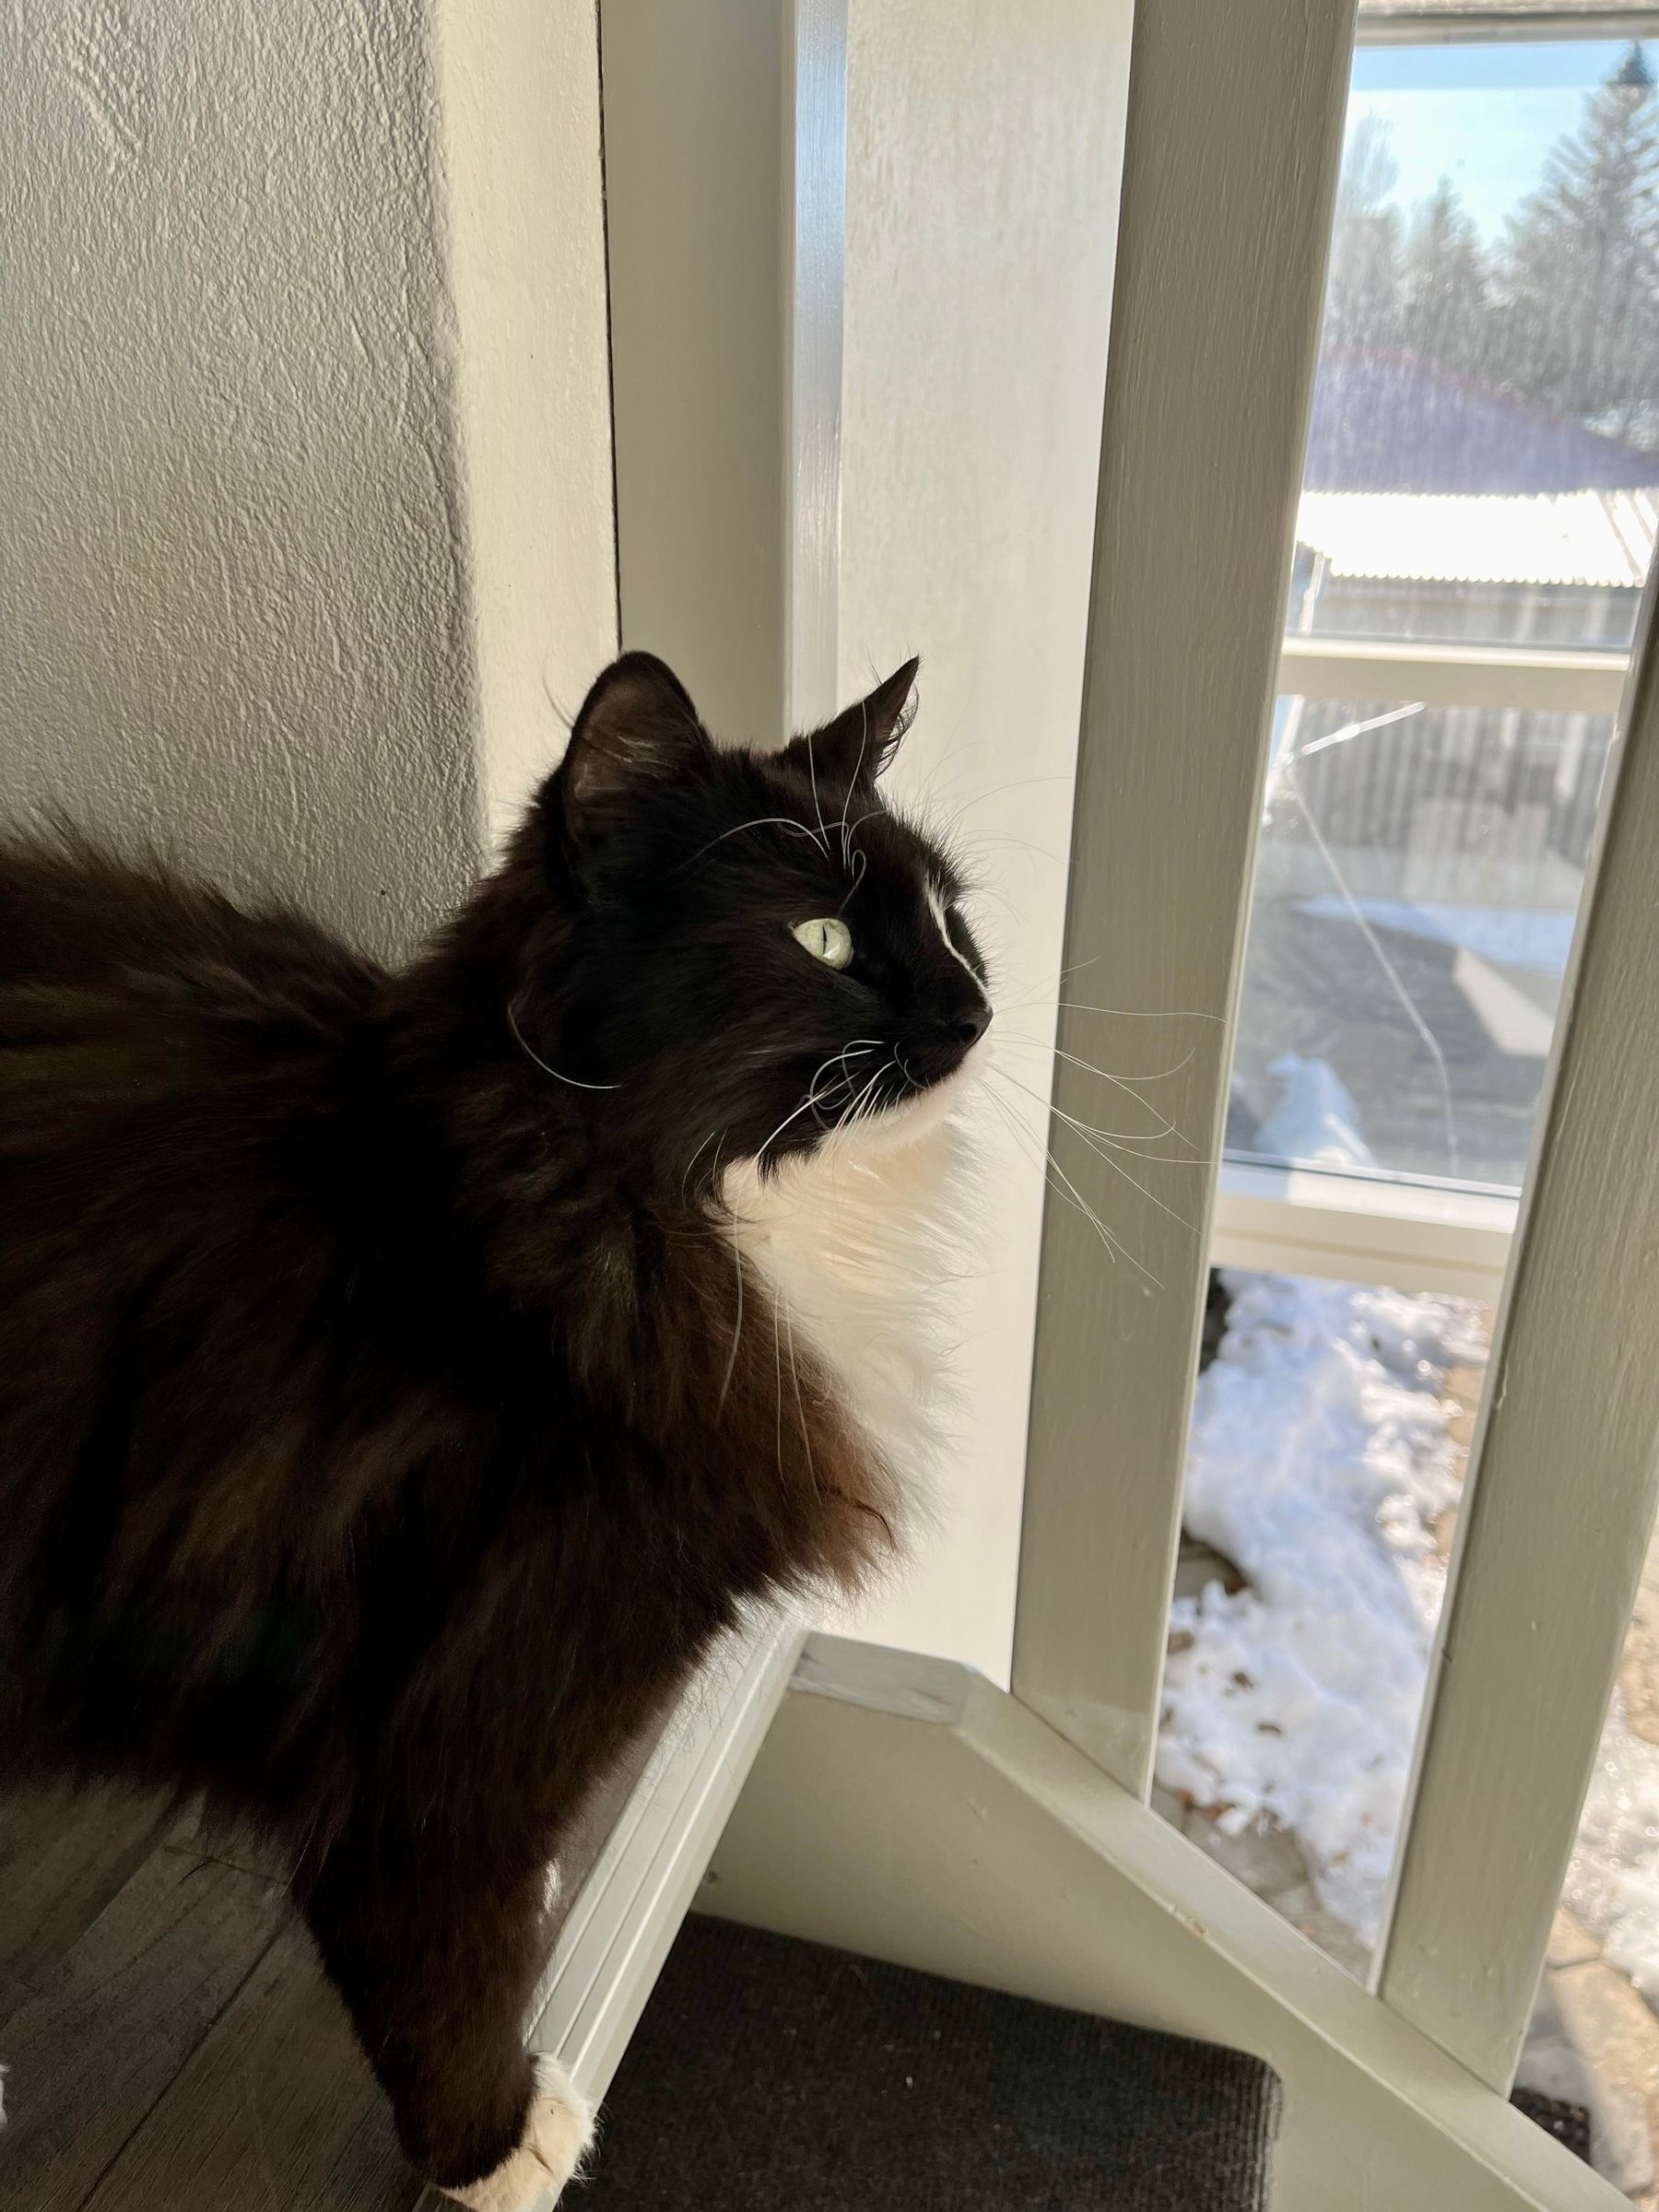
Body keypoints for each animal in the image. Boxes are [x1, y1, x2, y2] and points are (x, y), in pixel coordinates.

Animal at [0, 645, 986, 2203]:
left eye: (948, 915)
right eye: (823, 937)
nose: (975, 1008)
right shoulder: (449, 1742)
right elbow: (446, 1972)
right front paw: (504, 2146)